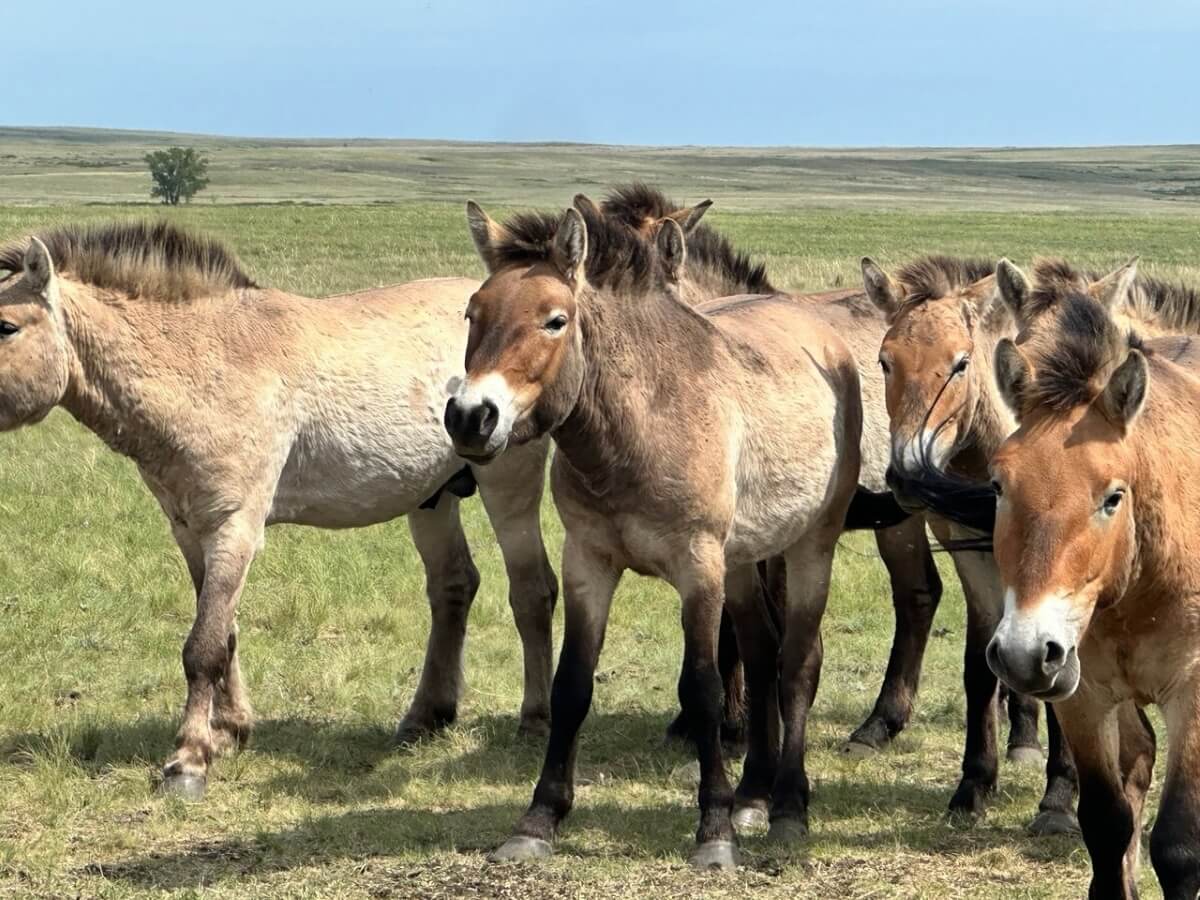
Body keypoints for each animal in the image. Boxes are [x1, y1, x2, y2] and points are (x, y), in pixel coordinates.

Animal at [0, 223, 559, 798]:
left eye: (5, 326)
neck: (208, 362)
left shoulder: (235, 530)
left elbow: (203, 647)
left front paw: (189, 759)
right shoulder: (190, 532)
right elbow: (223, 633)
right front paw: (230, 730)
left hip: (506, 485)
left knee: (532, 591)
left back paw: (535, 721)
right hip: (432, 498)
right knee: (454, 587)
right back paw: (426, 716)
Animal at [444, 201, 864, 868]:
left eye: (555, 320)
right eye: (472, 313)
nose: (469, 417)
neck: (639, 423)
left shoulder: (698, 569)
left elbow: (704, 687)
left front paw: (713, 830)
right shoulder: (589, 561)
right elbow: (571, 685)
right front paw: (539, 819)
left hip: (809, 546)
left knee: (797, 663)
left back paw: (789, 808)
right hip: (742, 561)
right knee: (763, 655)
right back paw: (754, 794)